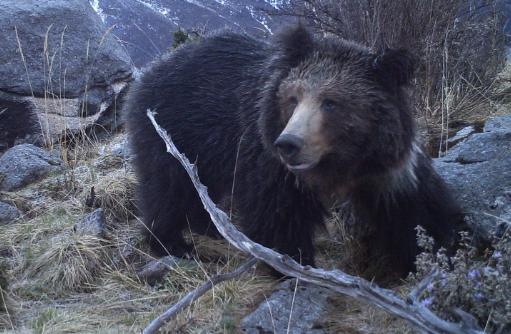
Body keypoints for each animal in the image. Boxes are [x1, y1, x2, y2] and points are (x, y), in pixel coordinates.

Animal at [126, 24, 466, 276]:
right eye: (293, 97)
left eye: (331, 102)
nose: (289, 144)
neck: (343, 161)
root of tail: (150, 71)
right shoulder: (270, 162)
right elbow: (278, 214)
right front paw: (295, 263)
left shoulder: (389, 168)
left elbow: (417, 210)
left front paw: (442, 248)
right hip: (173, 134)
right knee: (169, 188)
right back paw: (173, 242)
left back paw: (208, 228)